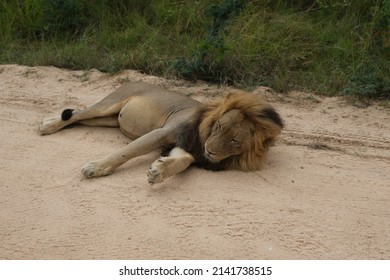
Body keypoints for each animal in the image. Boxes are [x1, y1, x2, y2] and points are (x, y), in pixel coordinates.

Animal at [38, 82, 284, 185]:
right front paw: (95, 168)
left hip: (109, 120)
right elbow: (126, 152)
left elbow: (183, 161)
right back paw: (47, 126)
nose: (210, 150)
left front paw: (158, 171)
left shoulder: (184, 148)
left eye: (234, 140)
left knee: (78, 118)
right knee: (78, 113)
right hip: (107, 106)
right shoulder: (162, 132)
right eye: (219, 127)